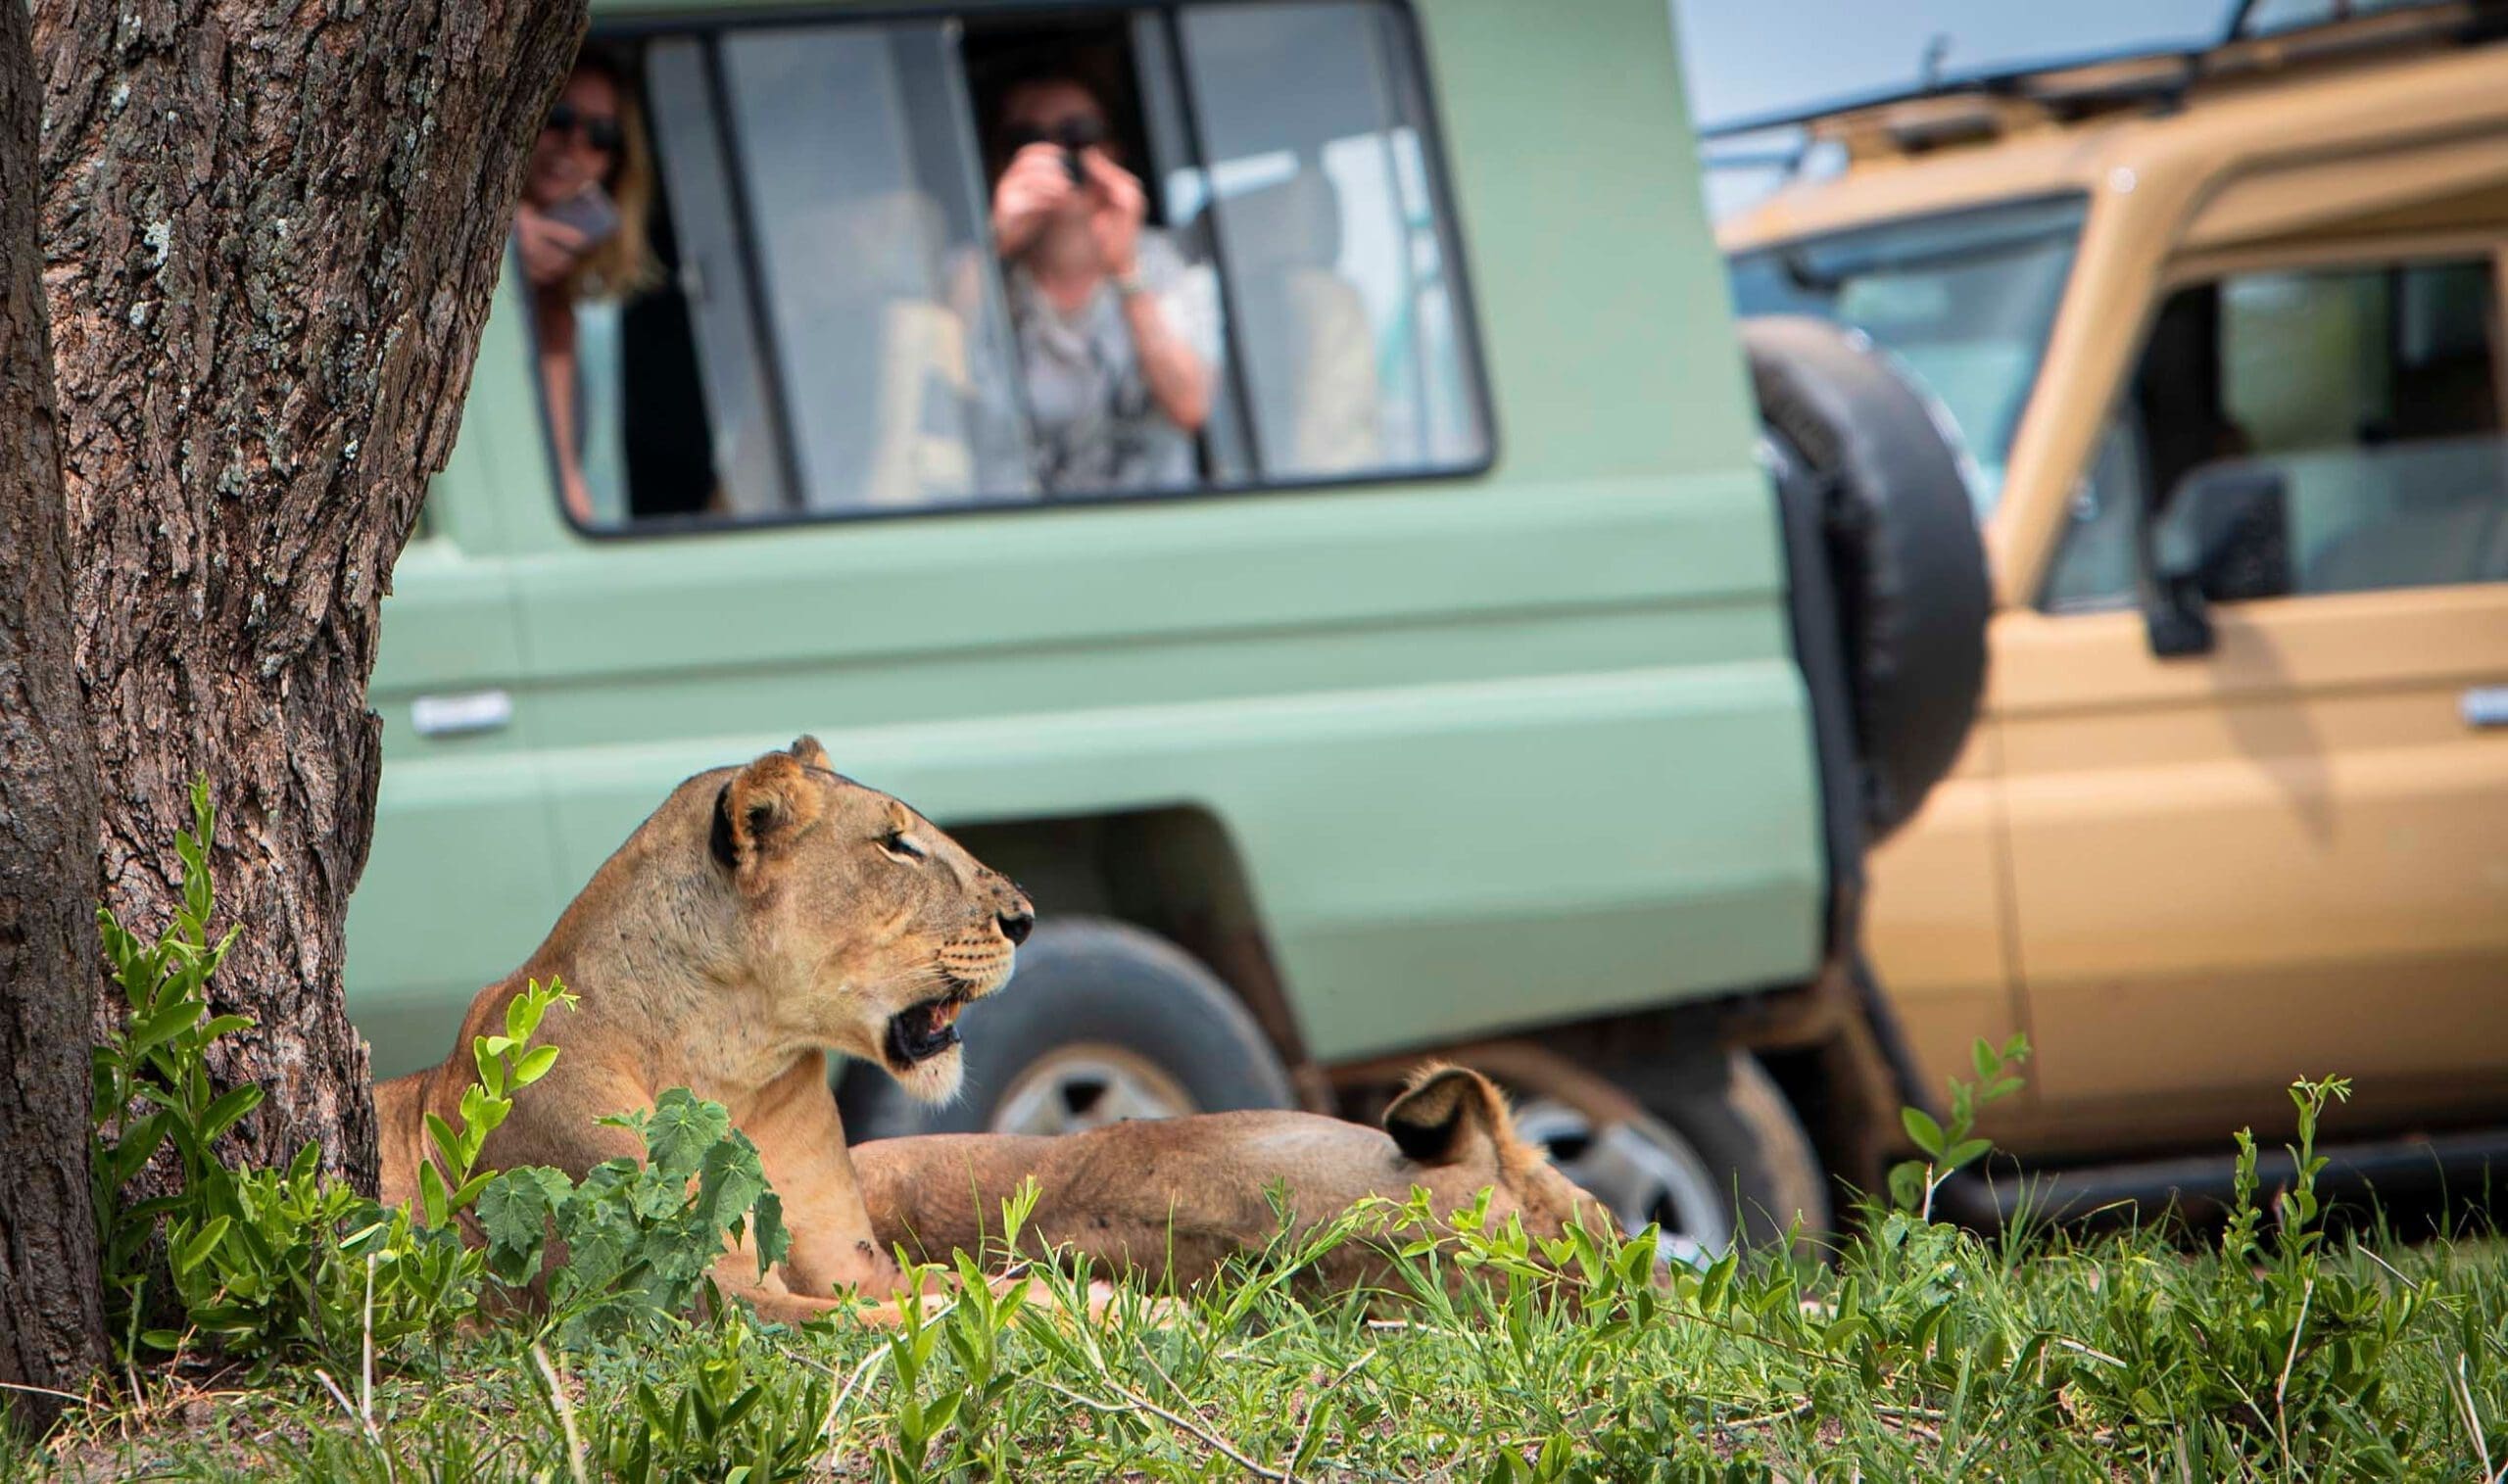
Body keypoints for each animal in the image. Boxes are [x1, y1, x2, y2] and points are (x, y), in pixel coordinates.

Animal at [376, 737, 1605, 1323]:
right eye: (896, 844)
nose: (1024, 916)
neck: (726, 1058)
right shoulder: (676, 1293)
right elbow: (882, 1325)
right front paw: (1119, 1312)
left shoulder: (850, 1261)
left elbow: (938, 1295)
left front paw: (1100, 1304)